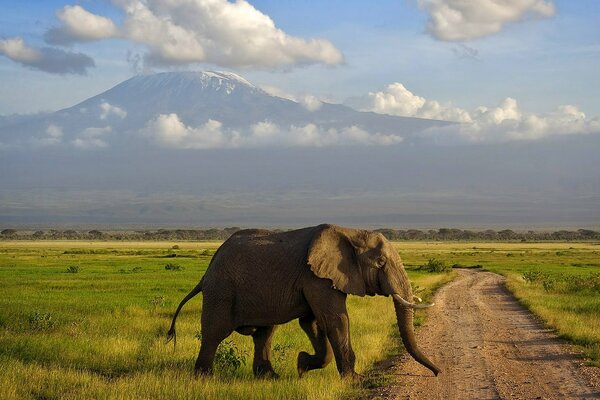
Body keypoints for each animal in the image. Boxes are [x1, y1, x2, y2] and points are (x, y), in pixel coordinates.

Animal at [166, 223, 438, 380]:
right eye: (380, 262)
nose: (437, 372)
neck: (351, 233)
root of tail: (207, 269)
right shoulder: (316, 277)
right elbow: (335, 321)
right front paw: (355, 380)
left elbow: (313, 323)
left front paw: (301, 365)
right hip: (221, 291)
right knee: (215, 333)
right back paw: (204, 378)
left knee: (264, 333)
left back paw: (270, 378)